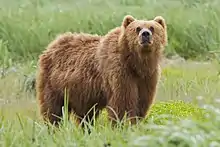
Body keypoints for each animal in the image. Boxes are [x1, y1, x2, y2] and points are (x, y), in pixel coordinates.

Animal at [36, 14, 167, 128]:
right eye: (137, 28)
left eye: (152, 27)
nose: (145, 34)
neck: (136, 63)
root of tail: (52, 45)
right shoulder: (119, 72)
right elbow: (122, 102)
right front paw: (120, 125)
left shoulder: (147, 77)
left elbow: (141, 102)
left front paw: (135, 123)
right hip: (53, 83)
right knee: (53, 110)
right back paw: (54, 127)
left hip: (81, 93)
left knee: (86, 116)